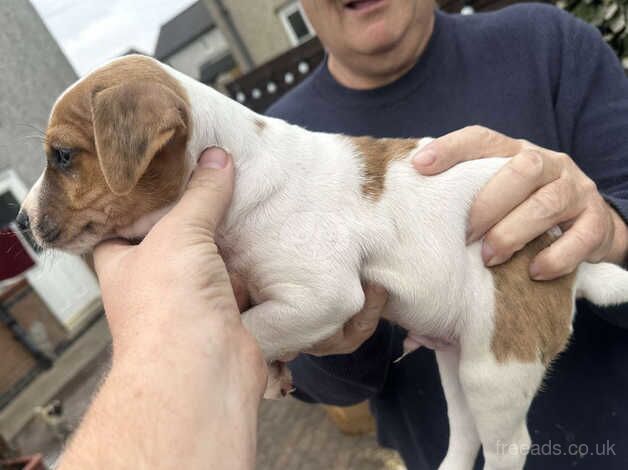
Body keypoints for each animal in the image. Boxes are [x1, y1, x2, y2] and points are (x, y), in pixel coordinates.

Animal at [17, 56, 624, 470]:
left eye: (63, 157)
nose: (19, 224)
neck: (242, 177)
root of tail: (569, 261)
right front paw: (274, 371)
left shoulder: (325, 295)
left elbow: (249, 326)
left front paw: (262, 363)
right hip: (456, 359)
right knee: (465, 430)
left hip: (497, 363)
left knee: (508, 445)